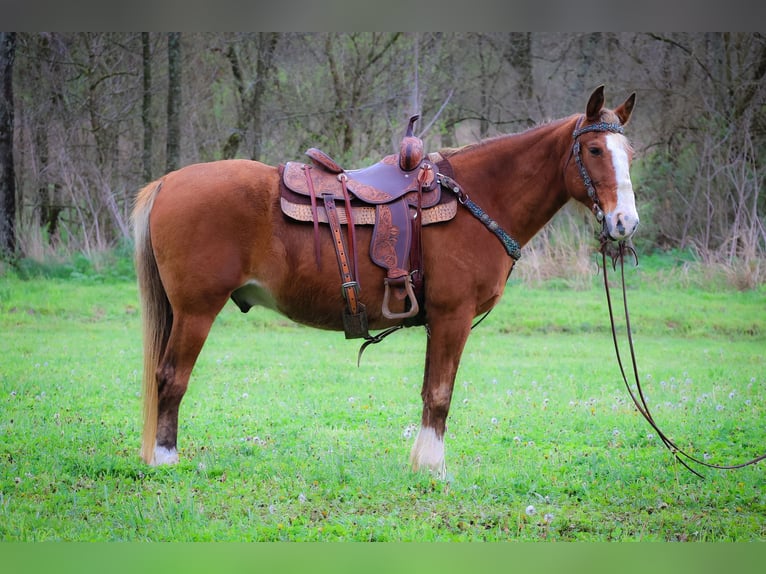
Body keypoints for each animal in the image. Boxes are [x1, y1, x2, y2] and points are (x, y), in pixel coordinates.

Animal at [134, 85, 640, 480]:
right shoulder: (453, 317)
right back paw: (165, 459)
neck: (478, 197)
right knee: (171, 377)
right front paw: (433, 468)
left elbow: (430, 392)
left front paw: (421, 462)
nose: (626, 223)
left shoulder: (440, 322)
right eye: (595, 151)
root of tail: (167, 182)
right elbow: (440, 395)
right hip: (196, 311)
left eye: (630, 154)